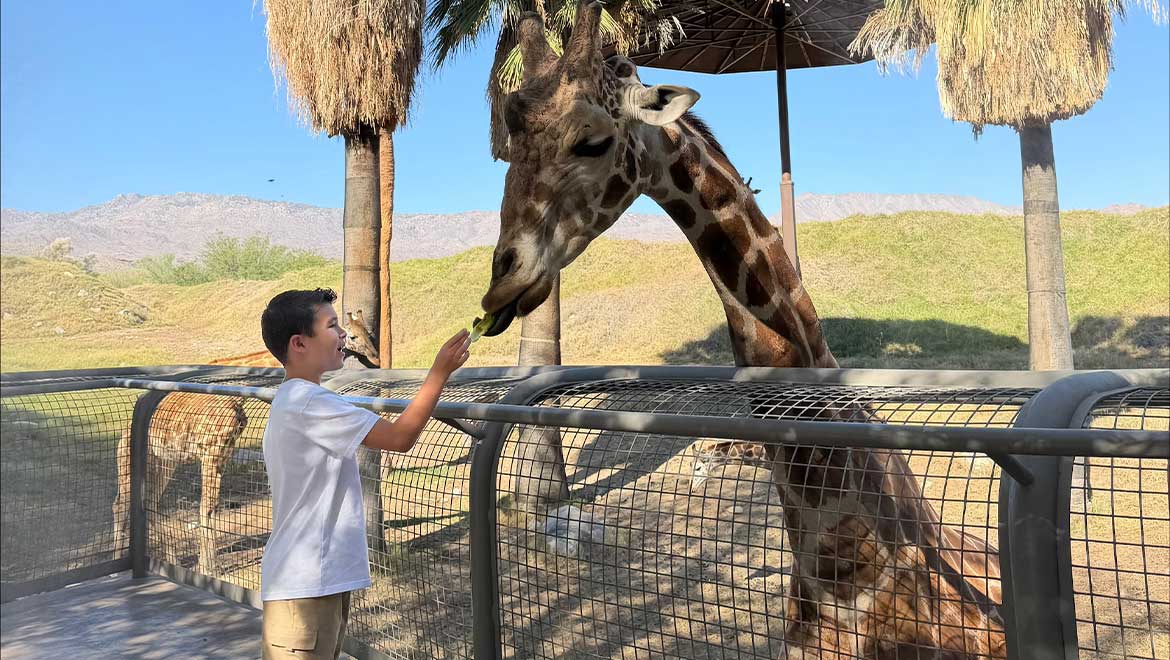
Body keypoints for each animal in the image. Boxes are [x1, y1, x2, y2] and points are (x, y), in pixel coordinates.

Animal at [112, 392, 247, 575]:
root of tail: (125, 432)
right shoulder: (210, 454)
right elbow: (206, 508)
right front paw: (207, 569)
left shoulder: (222, 457)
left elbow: (211, 507)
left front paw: (209, 566)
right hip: (133, 464)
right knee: (121, 504)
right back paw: (116, 564)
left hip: (164, 465)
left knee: (149, 502)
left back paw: (173, 560)